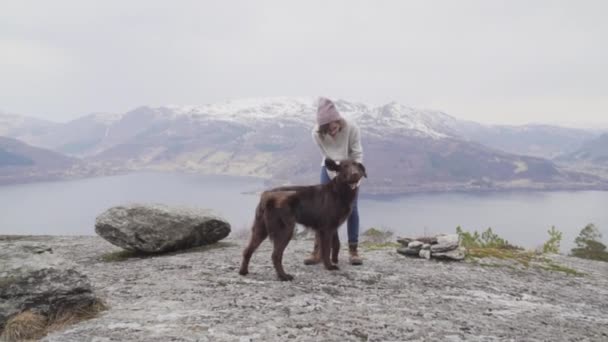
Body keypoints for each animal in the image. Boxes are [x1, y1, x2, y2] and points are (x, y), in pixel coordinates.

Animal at [238, 158, 366, 280]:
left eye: (357, 165)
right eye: (345, 166)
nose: (355, 174)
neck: (339, 190)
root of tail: (267, 196)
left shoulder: (330, 227)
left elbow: (335, 244)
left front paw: (332, 260)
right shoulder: (327, 229)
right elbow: (326, 249)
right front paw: (329, 266)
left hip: (260, 229)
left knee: (247, 250)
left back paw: (243, 271)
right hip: (285, 230)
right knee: (275, 255)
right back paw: (283, 276)